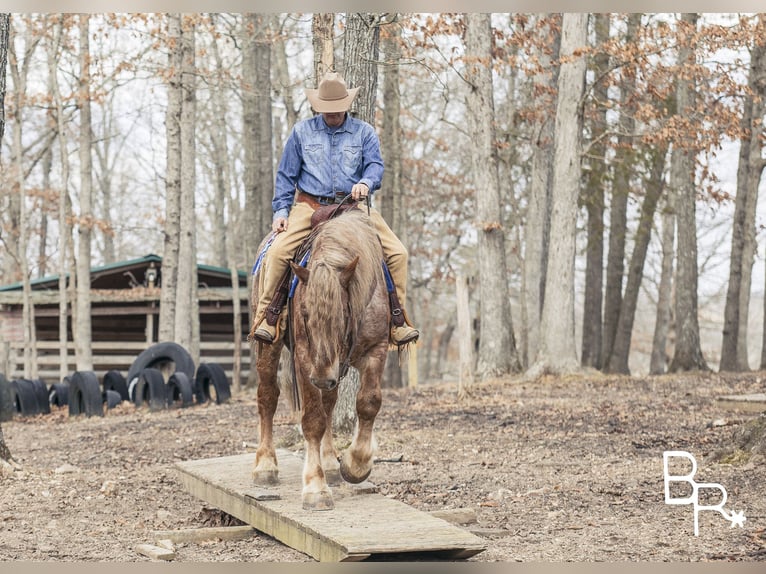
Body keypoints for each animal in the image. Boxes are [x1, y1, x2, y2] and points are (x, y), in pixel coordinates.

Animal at [250, 208, 390, 512]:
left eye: (343, 313)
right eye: (303, 312)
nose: (322, 378)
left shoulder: (376, 350)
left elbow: (368, 403)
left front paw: (355, 465)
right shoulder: (305, 360)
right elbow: (313, 420)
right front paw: (315, 488)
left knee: (329, 405)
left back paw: (331, 464)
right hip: (270, 348)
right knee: (267, 397)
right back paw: (265, 466)